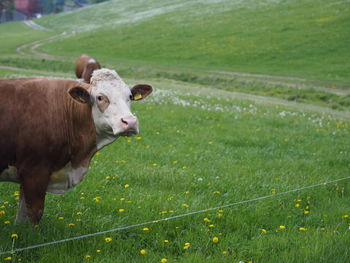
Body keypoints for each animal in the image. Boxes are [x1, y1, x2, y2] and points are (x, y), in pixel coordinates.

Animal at [0, 69, 153, 226]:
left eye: (129, 96)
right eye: (100, 97)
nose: (130, 122)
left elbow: (22, 213)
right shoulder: (35, 171)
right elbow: (35, 213)